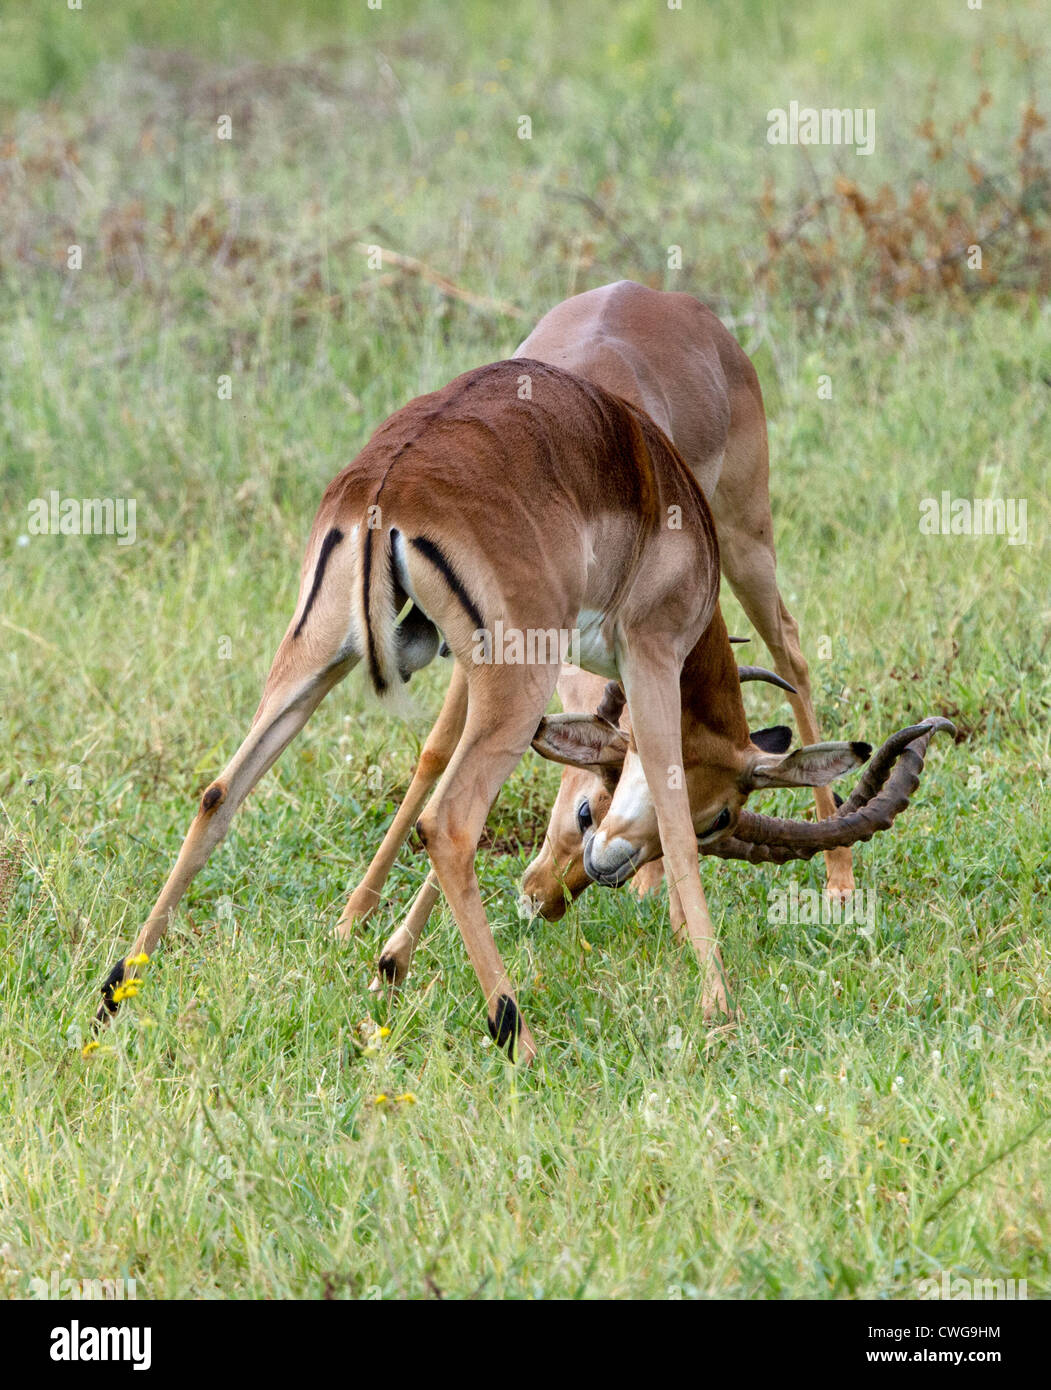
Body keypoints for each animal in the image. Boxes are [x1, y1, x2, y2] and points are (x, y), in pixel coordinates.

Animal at [97, 356, 953, 1061]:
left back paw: (118, 990)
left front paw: (388, 963)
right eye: (720, 821)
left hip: (321, 655)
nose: (601, 871)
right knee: (448, 822)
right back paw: (518, 1034)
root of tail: (387, 485)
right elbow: (671, 816)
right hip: (514, 677)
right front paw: (719, 1006)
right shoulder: (650, 658)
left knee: (221, 792)